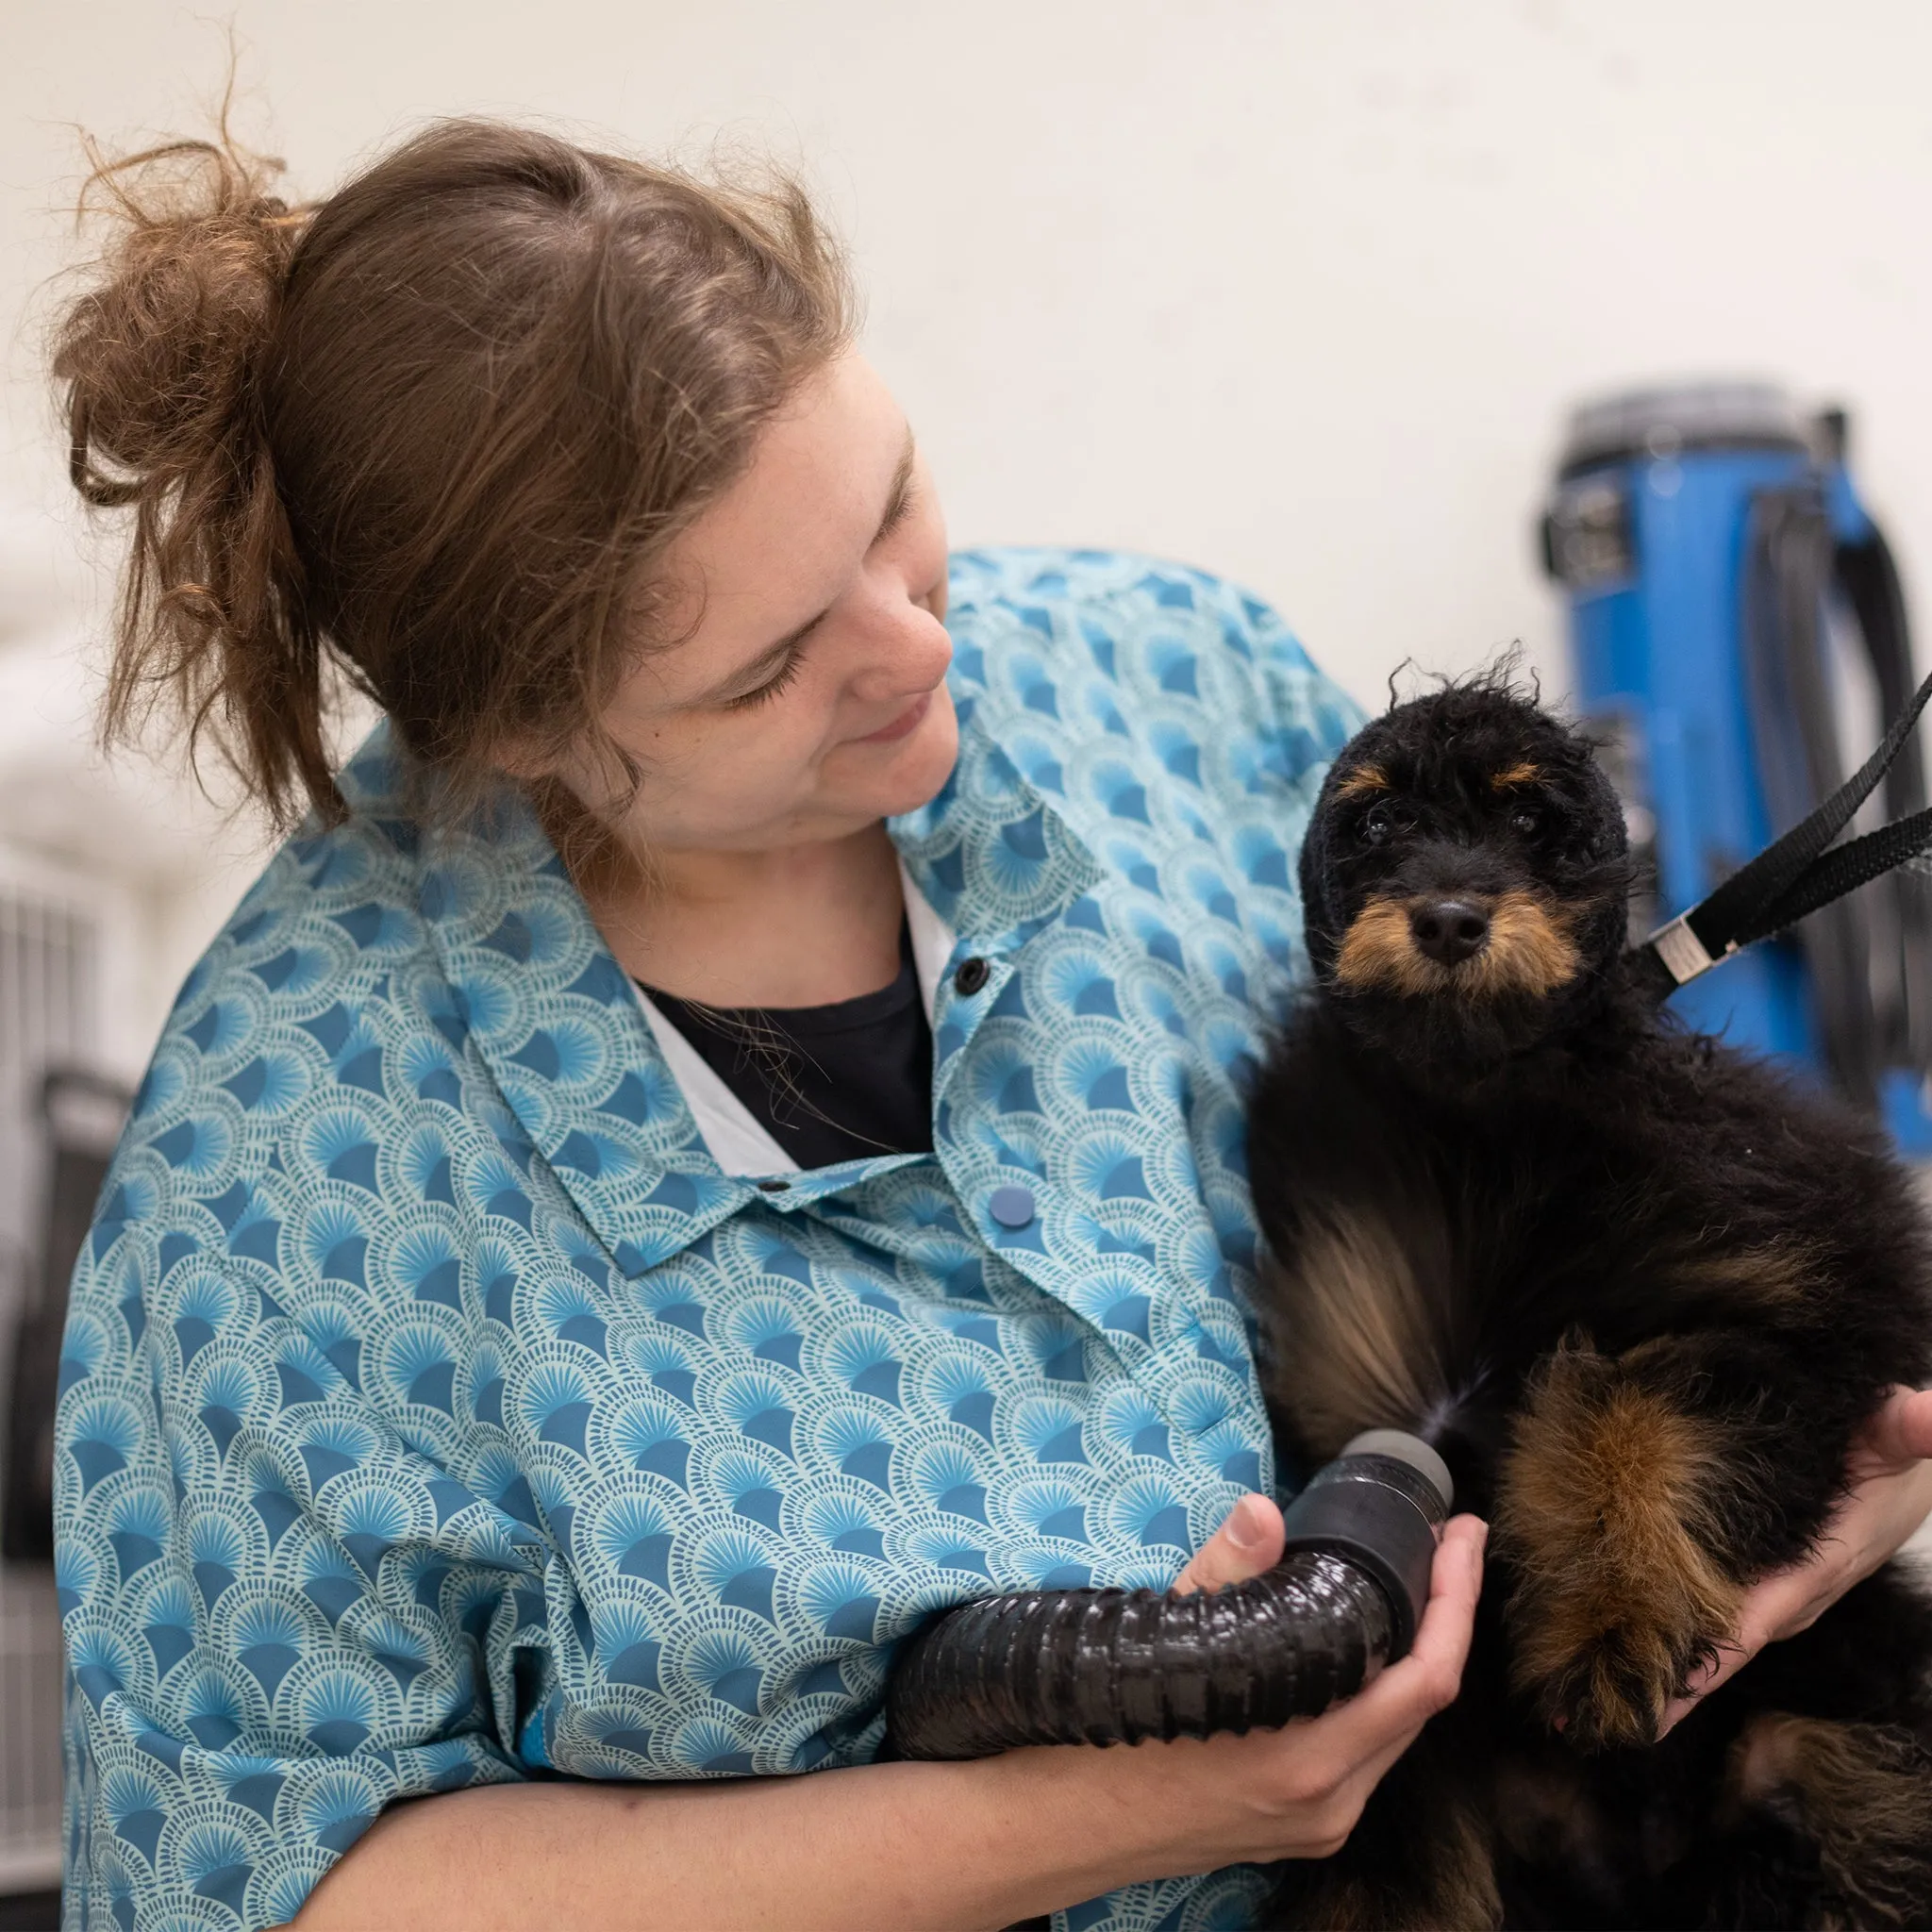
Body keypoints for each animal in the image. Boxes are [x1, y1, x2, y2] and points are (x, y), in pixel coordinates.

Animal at [1243, 672, 1932, 1924]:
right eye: (1377, 821)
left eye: (1528, 820)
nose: (1449, 917)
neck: (1491, 1107)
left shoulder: (1806, 1318)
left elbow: (1637, 1401)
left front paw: (1612, 1617)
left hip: (1849, 1743)